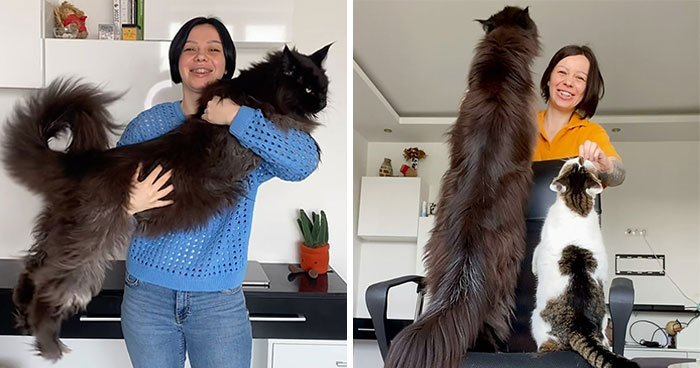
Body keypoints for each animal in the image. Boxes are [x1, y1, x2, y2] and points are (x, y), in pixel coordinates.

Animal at [2, 43, 330, 360]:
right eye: (308, 89)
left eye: (324, 87)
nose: (323, 102)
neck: (258, 87)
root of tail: (84, 162)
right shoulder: (272, 118)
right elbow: (298, 131)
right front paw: (316, 143)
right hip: (91, 240)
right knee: (50, 284)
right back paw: (48, 344)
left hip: (61, 231)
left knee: (33, 265)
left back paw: (22, 315)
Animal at [532, 157, 640, 368]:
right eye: (577, 165)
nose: (580, 157)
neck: (576, 204)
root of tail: (581, 326)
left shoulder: (541, 244)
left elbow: (535, 252)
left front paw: (533, 270)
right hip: (604, 326)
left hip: (536, 322)